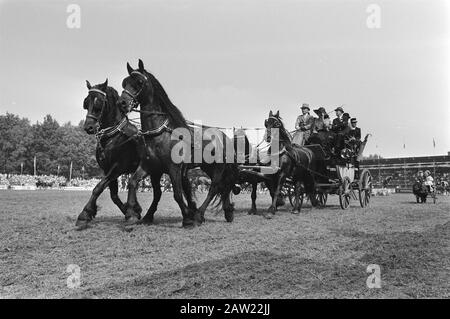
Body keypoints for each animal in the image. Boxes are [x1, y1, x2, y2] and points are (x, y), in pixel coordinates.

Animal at [75, 79, 142, 230]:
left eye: (99, 103)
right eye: (86, 102)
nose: (88, 127)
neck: (113, 137)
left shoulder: (118, 167)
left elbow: (98, 187)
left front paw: (84, 214)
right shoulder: (107, 169)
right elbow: (114, 195)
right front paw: (133, 211)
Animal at [118, 60, 241, 228]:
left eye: (139, 82)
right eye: (124, 82)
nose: (122, 103)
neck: (160, 134)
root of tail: (223, 136)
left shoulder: (174, 168)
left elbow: (177, 193)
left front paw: (187, 218)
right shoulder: (149, 166)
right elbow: (133, 183)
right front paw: (132, 214)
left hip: (218, 167)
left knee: (215, 187)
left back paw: (199, 215)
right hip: (207, 167)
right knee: (223, 187)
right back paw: (227, 211)